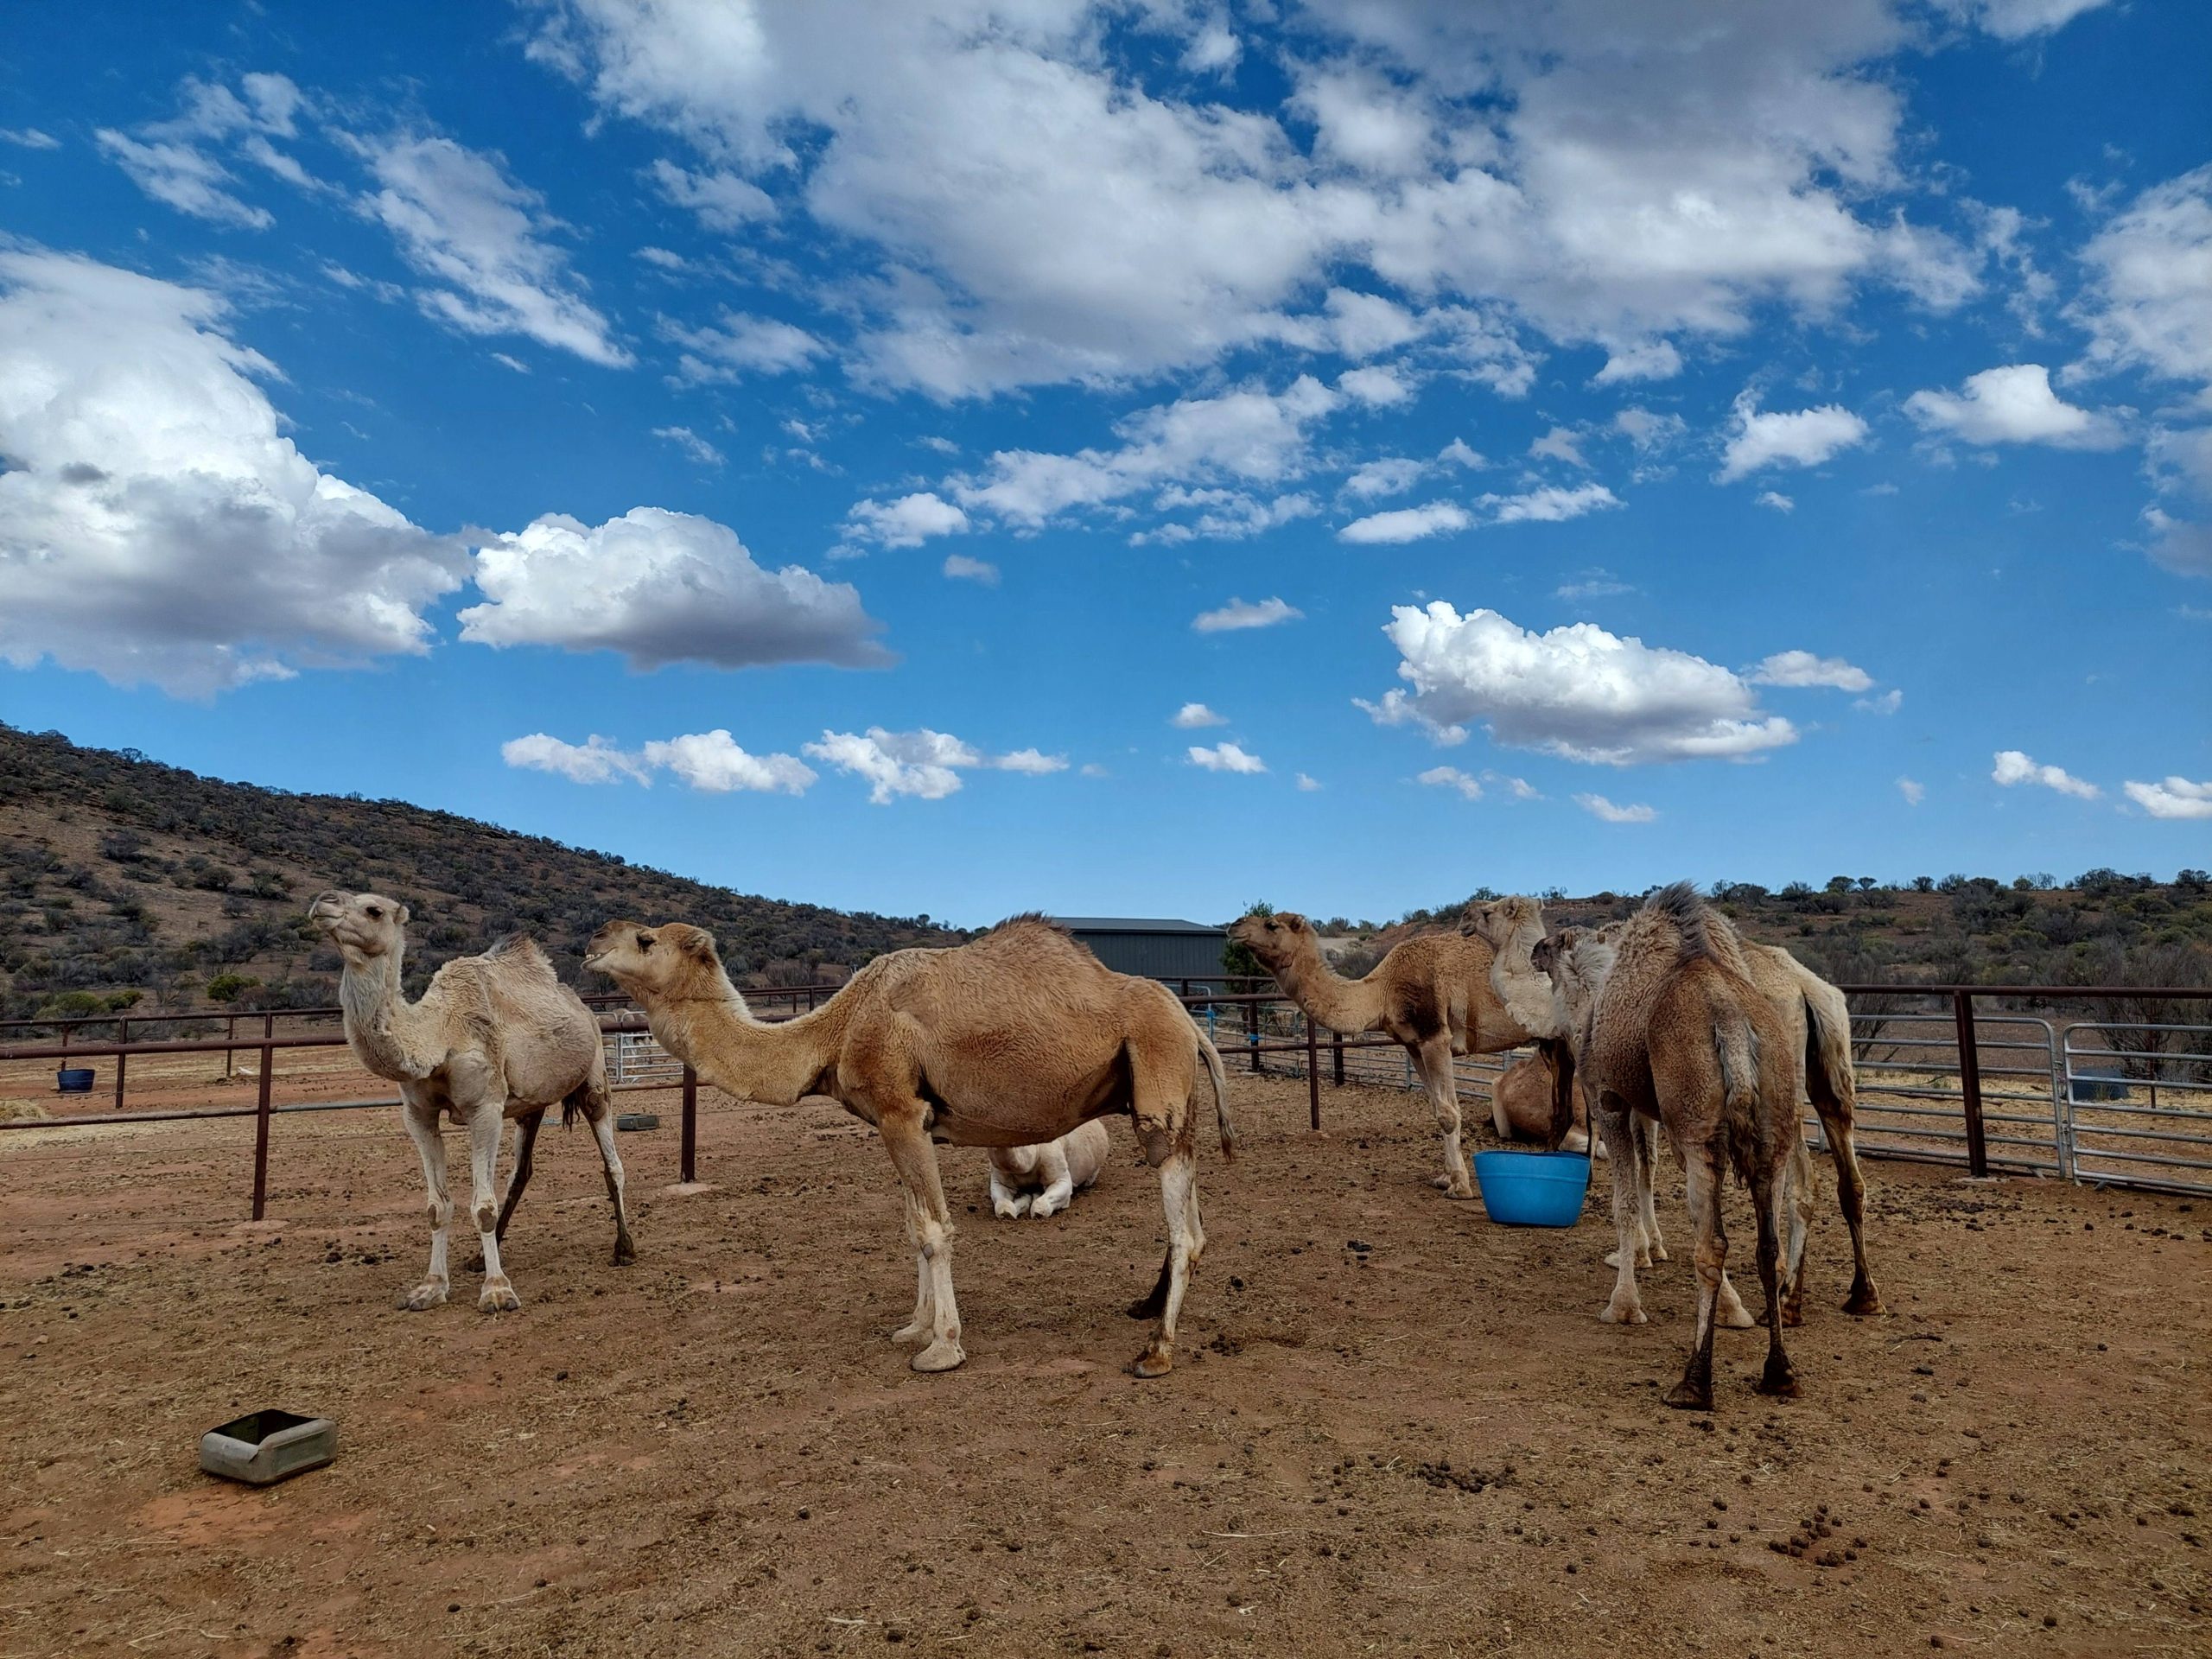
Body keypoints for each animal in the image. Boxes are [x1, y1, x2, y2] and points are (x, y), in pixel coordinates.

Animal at [307, 892, 635, 1314]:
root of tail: (584, 1007)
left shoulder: (485, 1108)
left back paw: (624, 1248)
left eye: (373, 910)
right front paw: (430, 1288)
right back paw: (481, 1257)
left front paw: (497, 1292)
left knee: (611, 1161)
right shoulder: (419, 1115)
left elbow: (482, 1206)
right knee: (521, 1171)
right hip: (530, 1105)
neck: (440, 1034)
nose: (322, 902)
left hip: (594, 1073)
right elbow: (437, 1206)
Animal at [1226, 911, 1567, 1196]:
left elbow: (1448, 1113)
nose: (1233, 926)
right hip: (1553, 1040)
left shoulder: (1435, 1037)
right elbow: (1436, 1108)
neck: (1383, 991)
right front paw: (1444, 1178)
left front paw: (1459, 1185)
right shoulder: (1413, 1045)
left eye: (1272, 924)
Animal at [1467, 895, 1879, 1323]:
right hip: (1828, 1078)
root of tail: (1806, 988)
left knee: (1798, 1183)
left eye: (1489, 911)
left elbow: (1635, 1174)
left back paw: (1784, 1298)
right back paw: (1847, 1296)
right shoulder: (1644, 1099)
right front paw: (1652, 1249)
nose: (1464, 916)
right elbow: (1649, 1164)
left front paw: (1634, 1266)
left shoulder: (1614, 1091)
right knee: (1845, 1176)